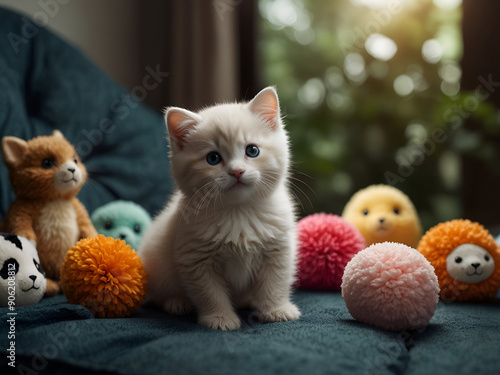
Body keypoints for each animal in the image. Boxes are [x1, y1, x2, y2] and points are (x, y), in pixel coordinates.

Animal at [139, 86, 298, 330]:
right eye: (213, 158)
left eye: (252, 151)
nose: (237, 171)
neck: (238, 211)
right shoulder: (195, 257)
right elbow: (209, 293)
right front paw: (220, 318)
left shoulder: (279, 250)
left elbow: (275, 282)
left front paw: (276, 310)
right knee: (159, 295)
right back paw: (177, 302)